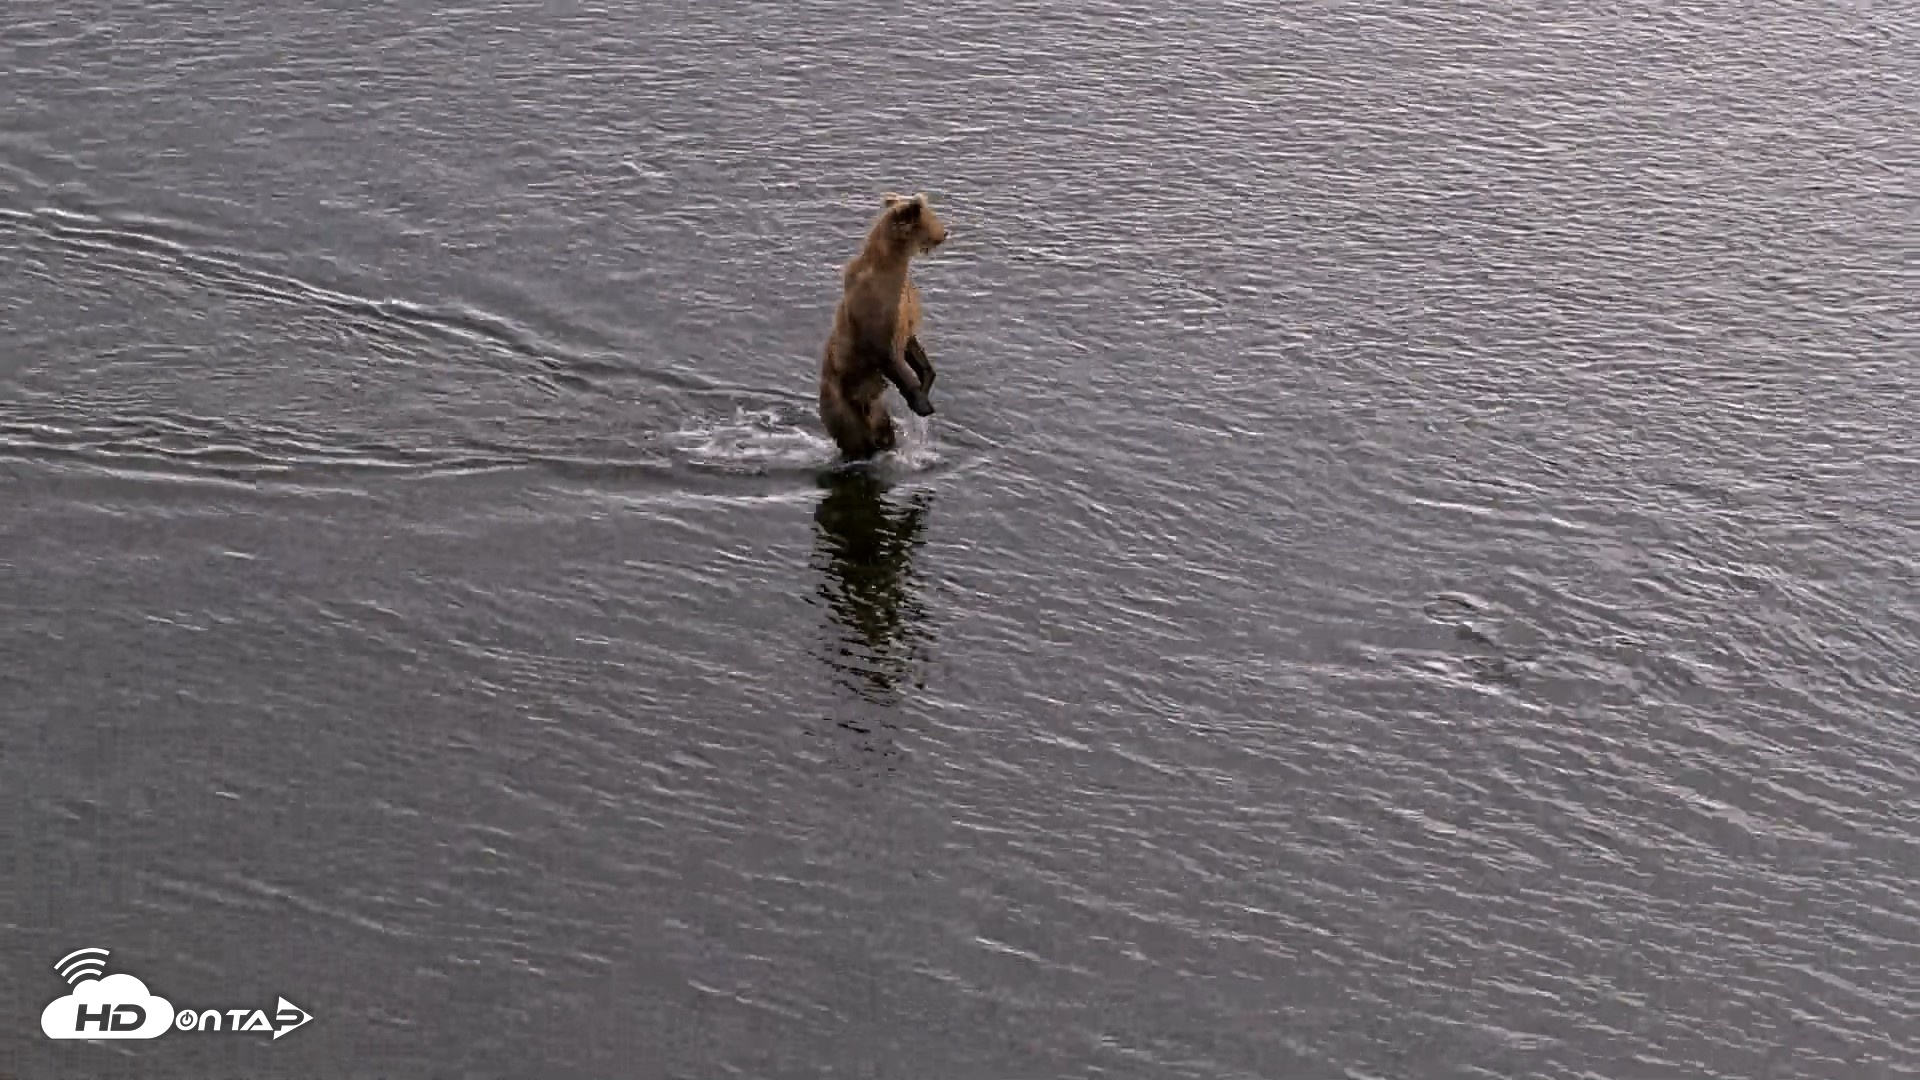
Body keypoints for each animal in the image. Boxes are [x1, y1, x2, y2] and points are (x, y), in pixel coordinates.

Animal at [818, 191, 948, 461]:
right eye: (933, 218)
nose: (946, 232)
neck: (893, 265)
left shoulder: (903, 312)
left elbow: (912, 347)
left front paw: (926, 380)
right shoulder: (876, 312)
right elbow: (886, 355)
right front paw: (922, 404)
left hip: (877, 410)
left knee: (883, 431)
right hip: (843, 406)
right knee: (855, 439)